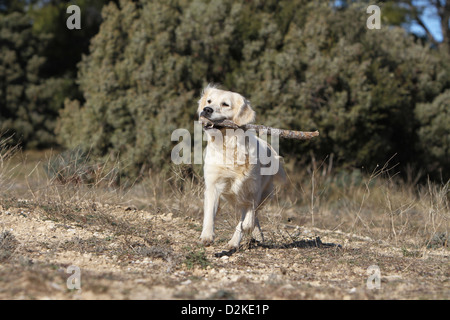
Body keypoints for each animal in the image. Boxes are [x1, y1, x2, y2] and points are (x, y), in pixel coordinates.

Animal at [197, 84, 284, 249]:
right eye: (209, 101)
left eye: (225, 104)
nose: (206, 109)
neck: (229, 147)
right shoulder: (213, 185)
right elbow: (210, 214)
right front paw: (207, 236)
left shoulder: (252, 190)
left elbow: (247, 219)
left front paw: (247, 229)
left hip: (264, 193)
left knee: (253, 215)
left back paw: (238, 240)